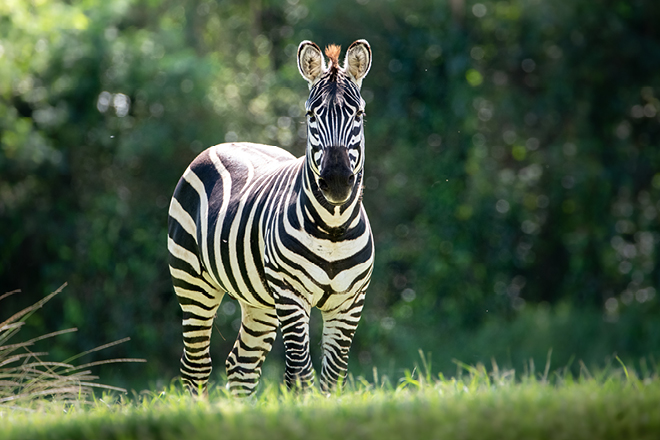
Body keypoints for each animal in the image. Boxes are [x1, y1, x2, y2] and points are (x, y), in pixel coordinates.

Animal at [167, 39, 374, 396]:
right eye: (310, 114)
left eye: (358, 113)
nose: (336, 180)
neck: (334, 229)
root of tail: (226, 142)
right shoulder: (291, 296)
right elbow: (301, 375)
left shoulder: (349, 303)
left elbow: (332, 378)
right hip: (192, 282)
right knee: (196, 367)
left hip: (259, 301)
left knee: (241, 366)